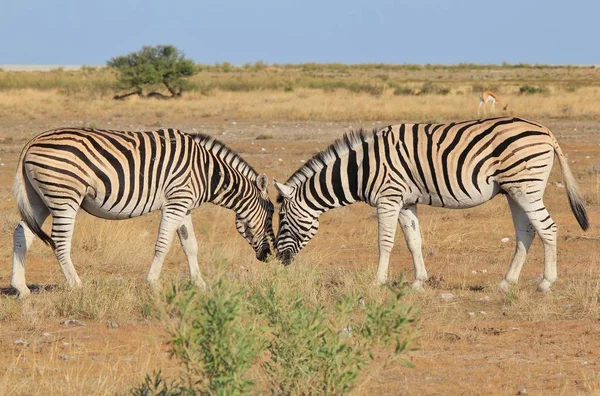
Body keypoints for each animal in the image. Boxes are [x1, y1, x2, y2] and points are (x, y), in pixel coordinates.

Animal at [11, 127, 274, 296]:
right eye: (271, 216)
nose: (268, 256)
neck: (207, 172)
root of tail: (31, 142)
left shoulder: (185, 206)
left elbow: (190, 245)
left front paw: (199, 283)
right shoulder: (176, 203)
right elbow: (163, 245)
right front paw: (153, 283)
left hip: (39, 200)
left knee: (22, 232)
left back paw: (20, 288)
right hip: (64, 197)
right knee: (59, 241)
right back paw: (76, 285)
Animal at [274, 116, 588, 292]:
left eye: (283, 221)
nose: (278, 261)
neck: (361, 168)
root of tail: (546, 131)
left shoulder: (388, 197)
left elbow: (384, 241)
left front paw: (378, 281)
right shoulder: (405, 202)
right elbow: (414, 241)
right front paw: (419, 282)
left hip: (526, 186)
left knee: (548, 228)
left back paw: (546, 283)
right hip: (513, 190)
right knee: (527, 232)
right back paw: (506, 283)